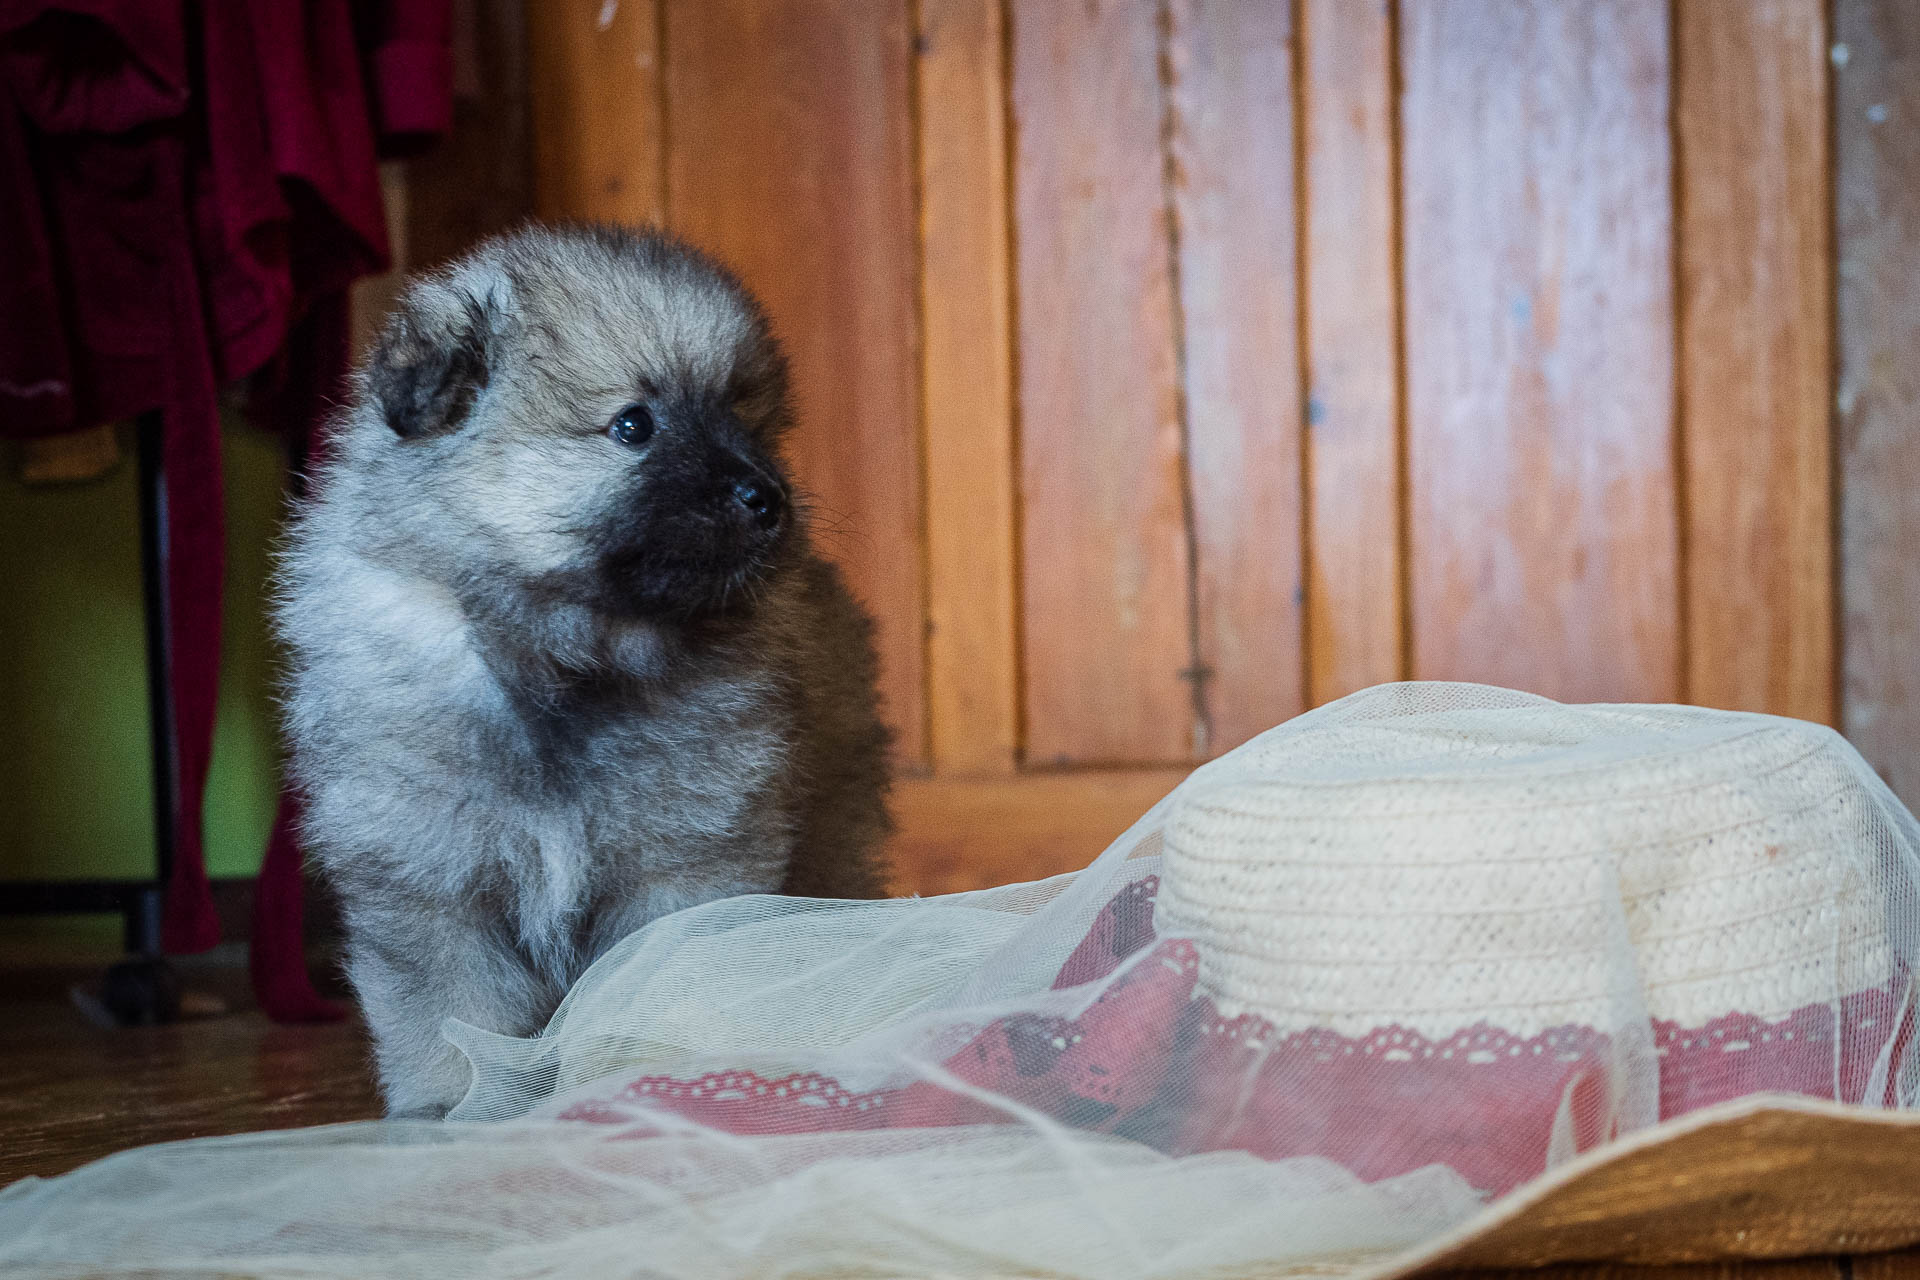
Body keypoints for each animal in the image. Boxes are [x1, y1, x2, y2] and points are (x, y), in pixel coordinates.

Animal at [278, 225, 890, 1113]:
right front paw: (457, 1104)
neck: (563, 660)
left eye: (752, 423)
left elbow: (659, 983)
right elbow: (451, 1018)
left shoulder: (684, 865)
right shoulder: (434, 883)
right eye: (633, 425)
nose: (768, 498)